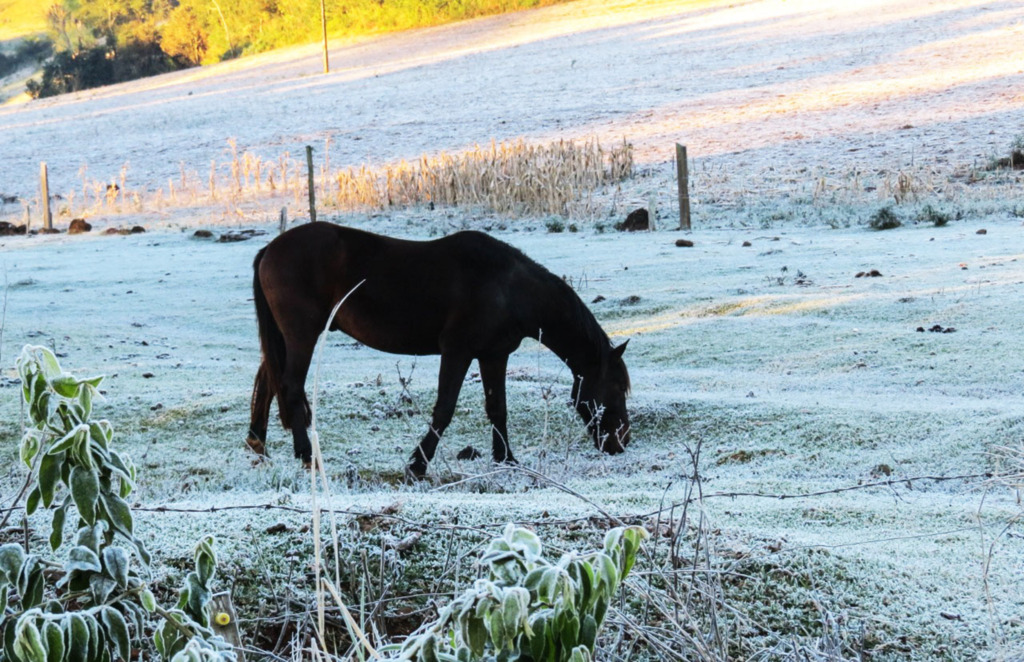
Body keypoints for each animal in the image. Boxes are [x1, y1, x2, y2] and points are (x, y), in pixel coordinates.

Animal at [247, 223, 630, 477]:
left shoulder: (494, 355)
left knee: (268, 384)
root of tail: (270, 249)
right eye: (615, 389)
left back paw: (258, 446)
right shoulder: (457, 352)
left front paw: (506, 458)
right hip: (302, 334)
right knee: (291, 387)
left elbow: (498, 409)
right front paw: (418, 464)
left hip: (285, 338)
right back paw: (305, 454)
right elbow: (445, 409)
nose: (620, 443)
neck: (508, 289)